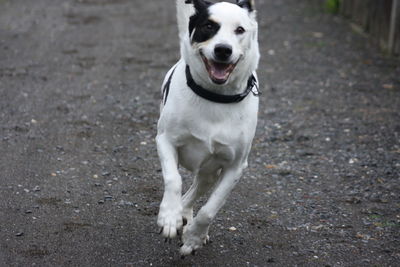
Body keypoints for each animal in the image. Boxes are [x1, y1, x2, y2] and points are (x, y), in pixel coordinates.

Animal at [155, 0, 260, 256]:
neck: (215, 97)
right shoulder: (165, 141)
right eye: (209, 26)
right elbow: (173, 179)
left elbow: (210, 208)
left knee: (195, 193)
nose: (223, 50)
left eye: (240, 30)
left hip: (210, 171)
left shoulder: (235, 167)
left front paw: (194, 237)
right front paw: (169, 218)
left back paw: (186, 218)